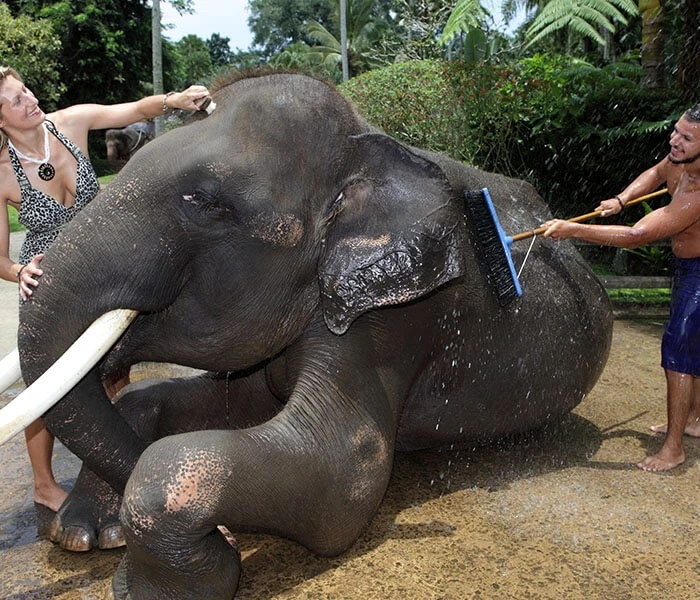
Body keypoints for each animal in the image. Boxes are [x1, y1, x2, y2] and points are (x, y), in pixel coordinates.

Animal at [2, 71, 612, 599]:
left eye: (208, 202)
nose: (226, 537)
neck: (365, 142)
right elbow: (212, 399)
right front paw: (83, 535)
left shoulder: (397, 317)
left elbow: (343, 469)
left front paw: (162, 581)